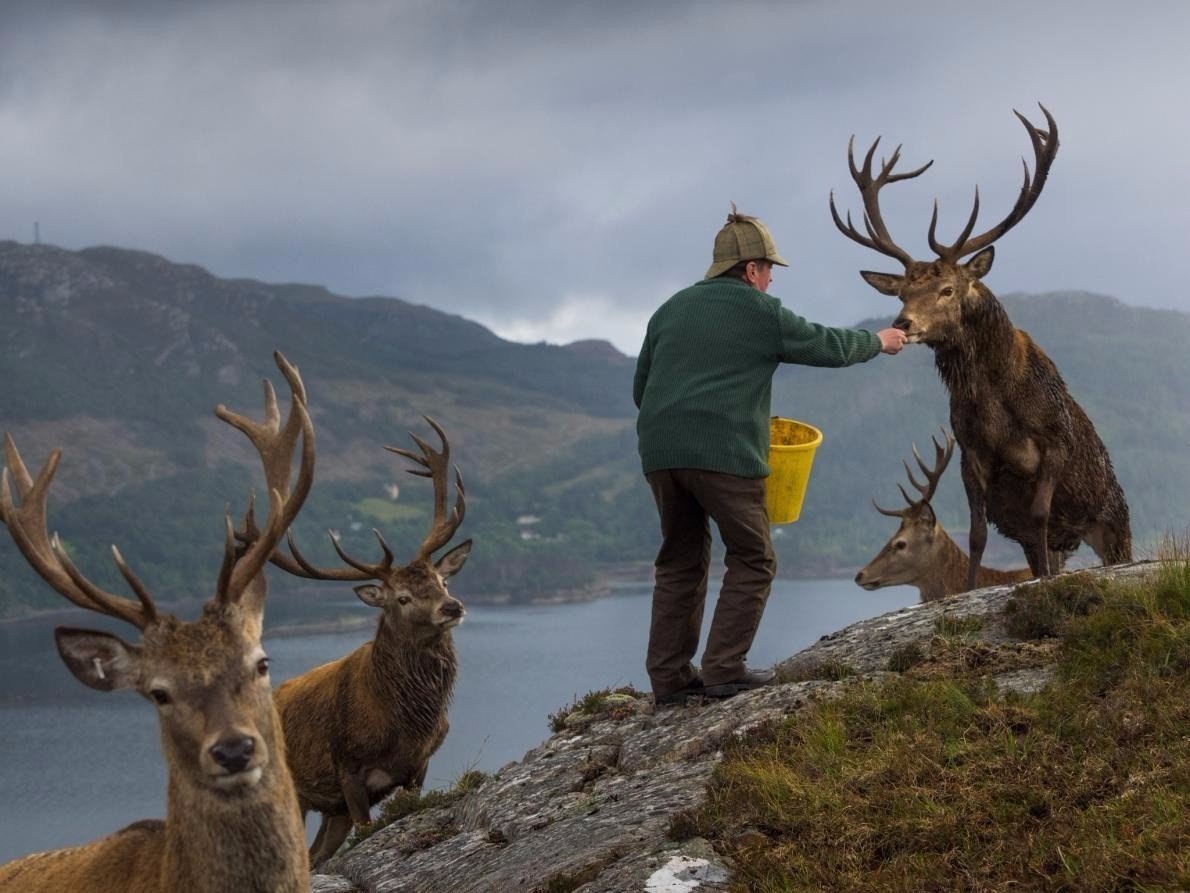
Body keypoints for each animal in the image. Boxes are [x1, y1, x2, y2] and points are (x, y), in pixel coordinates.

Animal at [248, 419, 471, 866]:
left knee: (316, 856)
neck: (405, 724)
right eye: (401, 598)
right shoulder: (347, 769)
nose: (452, 607)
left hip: (329, 812)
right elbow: (366, 828)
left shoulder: (418, 767)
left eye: (442, 581)